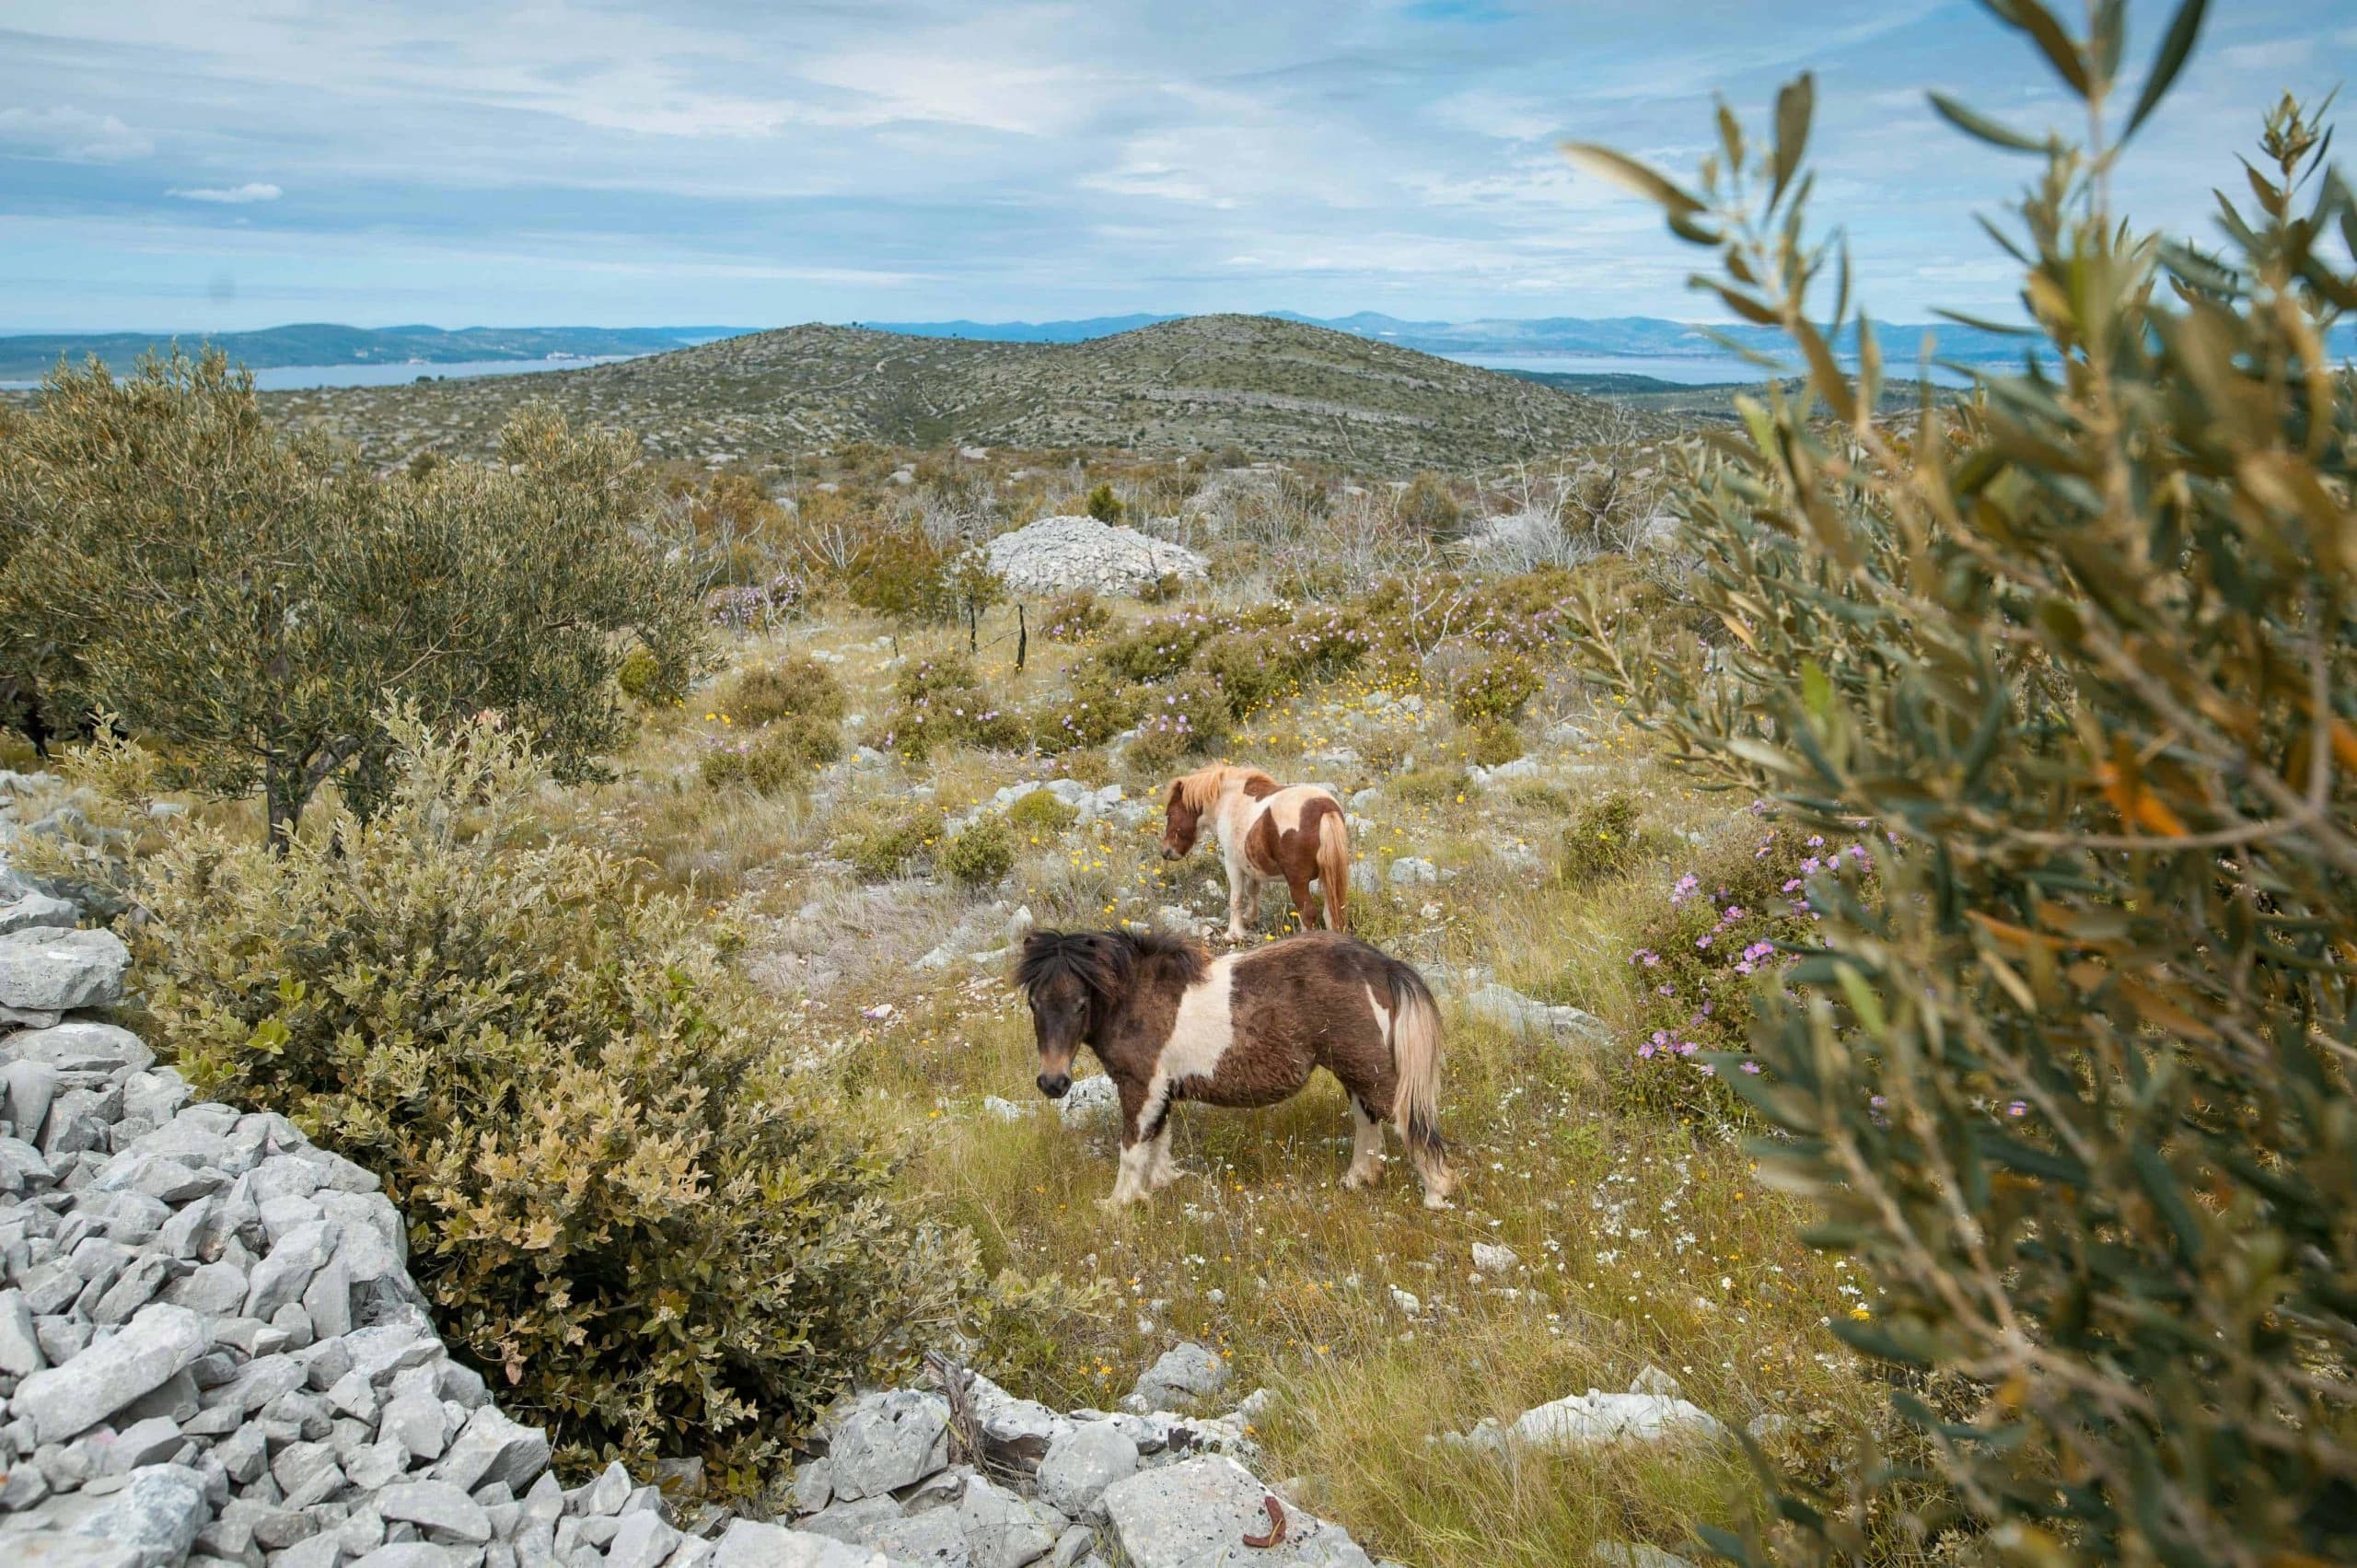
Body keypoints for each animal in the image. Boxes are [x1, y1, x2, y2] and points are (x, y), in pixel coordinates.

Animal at [1013, 928, 1451, 1207]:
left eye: (1080, 1004)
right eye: (1033, 1003)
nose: (1053, 1082)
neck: (1137, 997)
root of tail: (1381, 965)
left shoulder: (1140, 1085)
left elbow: (1133, 1145)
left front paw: (1119, 1203)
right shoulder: (1162, 1088)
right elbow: (1159, 1139)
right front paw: (1161, 1185)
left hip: (1368, 1069)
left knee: (1409, 1121)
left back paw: (1437, 1194)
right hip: (1355, 1069)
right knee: (1368, 1120)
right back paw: (1358, 1179)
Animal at [1155, 763, 1348, 934]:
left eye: (1169, 814)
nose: (1166, 851)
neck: (1229, 800)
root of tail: (1324, 809)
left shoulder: (1232, 864)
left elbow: (1236, 898)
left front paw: (1234, 933)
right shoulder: (1252, 864)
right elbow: (1253, 890)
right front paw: (1251, 918)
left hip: (1298, 882)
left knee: (1308, 915)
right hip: (1327, 878)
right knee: (1332, 914)